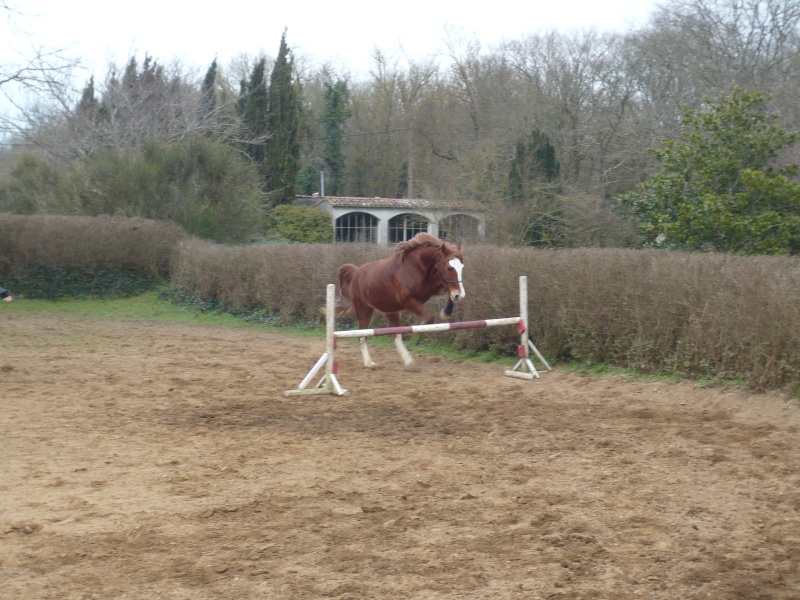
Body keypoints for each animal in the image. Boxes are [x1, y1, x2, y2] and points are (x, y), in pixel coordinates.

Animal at [336, 232, 462, 368]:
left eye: (462, 266)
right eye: (449, 268)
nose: (460, 295)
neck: (418, 266)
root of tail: (356, 273)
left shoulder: (435, 288)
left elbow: (448, 292)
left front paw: (446, 312)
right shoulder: (408, 301)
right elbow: (429, 317)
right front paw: (415, 332)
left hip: (392, 311)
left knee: (394, 335)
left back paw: (409, 362)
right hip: (364, 310)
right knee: (362, 335)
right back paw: (369, 363)